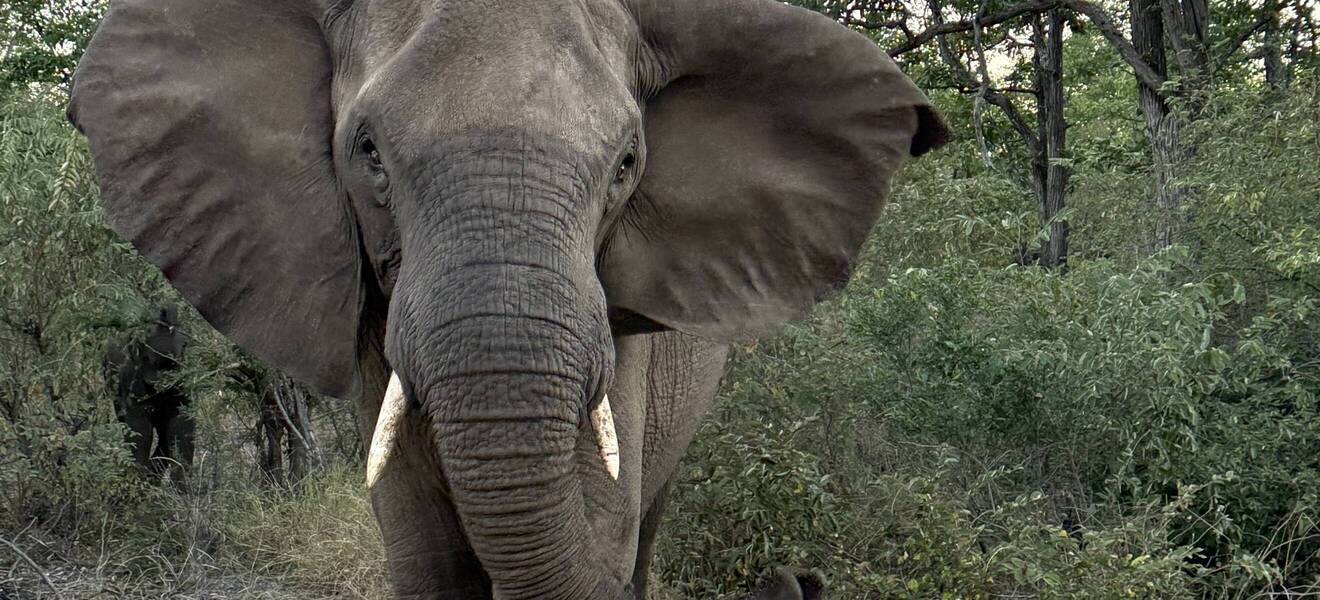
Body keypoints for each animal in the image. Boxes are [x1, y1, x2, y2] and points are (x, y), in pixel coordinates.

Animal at [103, 306, 194, 484]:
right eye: (146, 357)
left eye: (175, 363)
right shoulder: (131, 377)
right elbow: (140, 429)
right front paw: (138, 481)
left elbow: (182, 425)